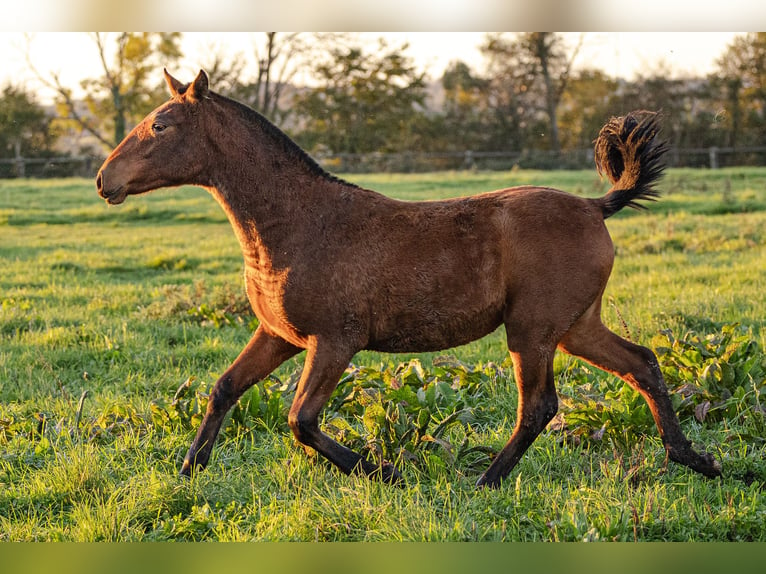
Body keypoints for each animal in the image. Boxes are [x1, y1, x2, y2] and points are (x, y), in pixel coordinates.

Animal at [94, 70, 720, 488]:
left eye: (160, 124)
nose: (104, 180)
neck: (296, 224)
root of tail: (596, 205)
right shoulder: (278, 336)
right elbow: (225, 387)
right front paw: (188, 469)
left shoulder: (334, 342)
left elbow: (301, 420)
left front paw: (385, 470)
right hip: (574, 327)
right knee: (642, 364)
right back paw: (696, 459)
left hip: (533, 331)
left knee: (539, 406)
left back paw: (486, 480)